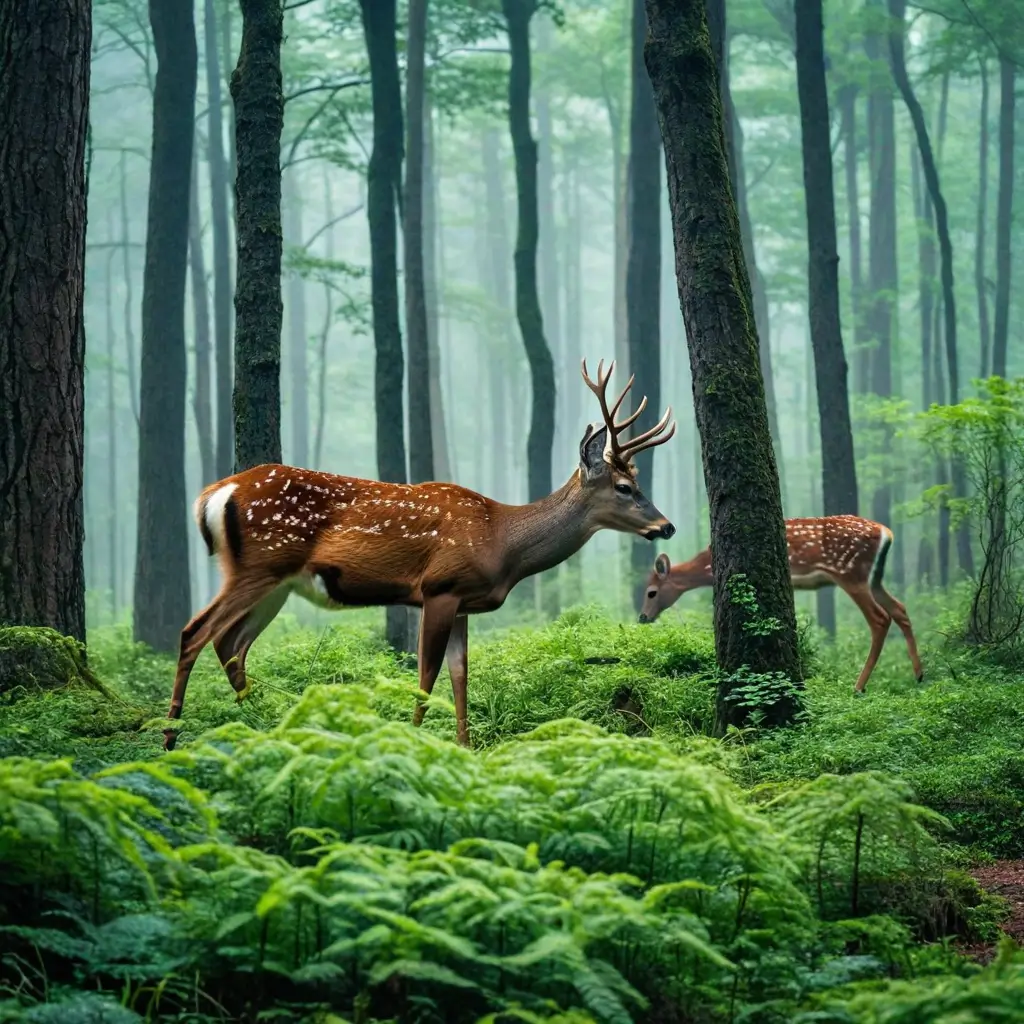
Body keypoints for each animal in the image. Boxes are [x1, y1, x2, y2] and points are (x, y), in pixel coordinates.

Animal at [163, 359, 677, 751]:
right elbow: (426, 676)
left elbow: (460, 676)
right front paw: (413, 745)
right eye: (626, 487)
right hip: (259, 565)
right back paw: (172, 737)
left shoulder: (465, 601)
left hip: (279, 583)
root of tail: (214, 494)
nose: (666, 526)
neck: (502, 541)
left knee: (231, 644)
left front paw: (465, 749)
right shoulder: (438, 587)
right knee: (195, 632)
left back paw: (262, 726)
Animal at [638, 515, 923, 694]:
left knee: (880, 618)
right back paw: (919, 675)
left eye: (651, 592)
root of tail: (886, 532)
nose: (642, 617)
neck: (707, 566)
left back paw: (859, 686)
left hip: (851, 572)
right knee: (900, 609)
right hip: (874, 576)